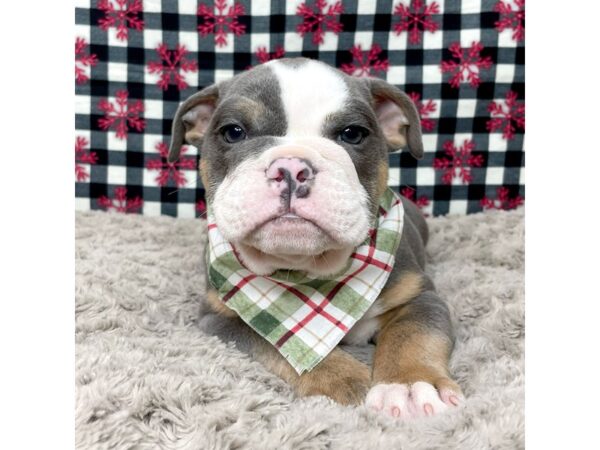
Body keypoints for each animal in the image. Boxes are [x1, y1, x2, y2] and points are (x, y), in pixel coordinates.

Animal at [169, 59, 464, 418]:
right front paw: (347, 379)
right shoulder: (221, 318)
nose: (290, 168)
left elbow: (412, 334)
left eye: (352, 134)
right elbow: (278, 343)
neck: (306, 272)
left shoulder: (419, 296)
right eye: (233, 132)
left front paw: (409, 385)